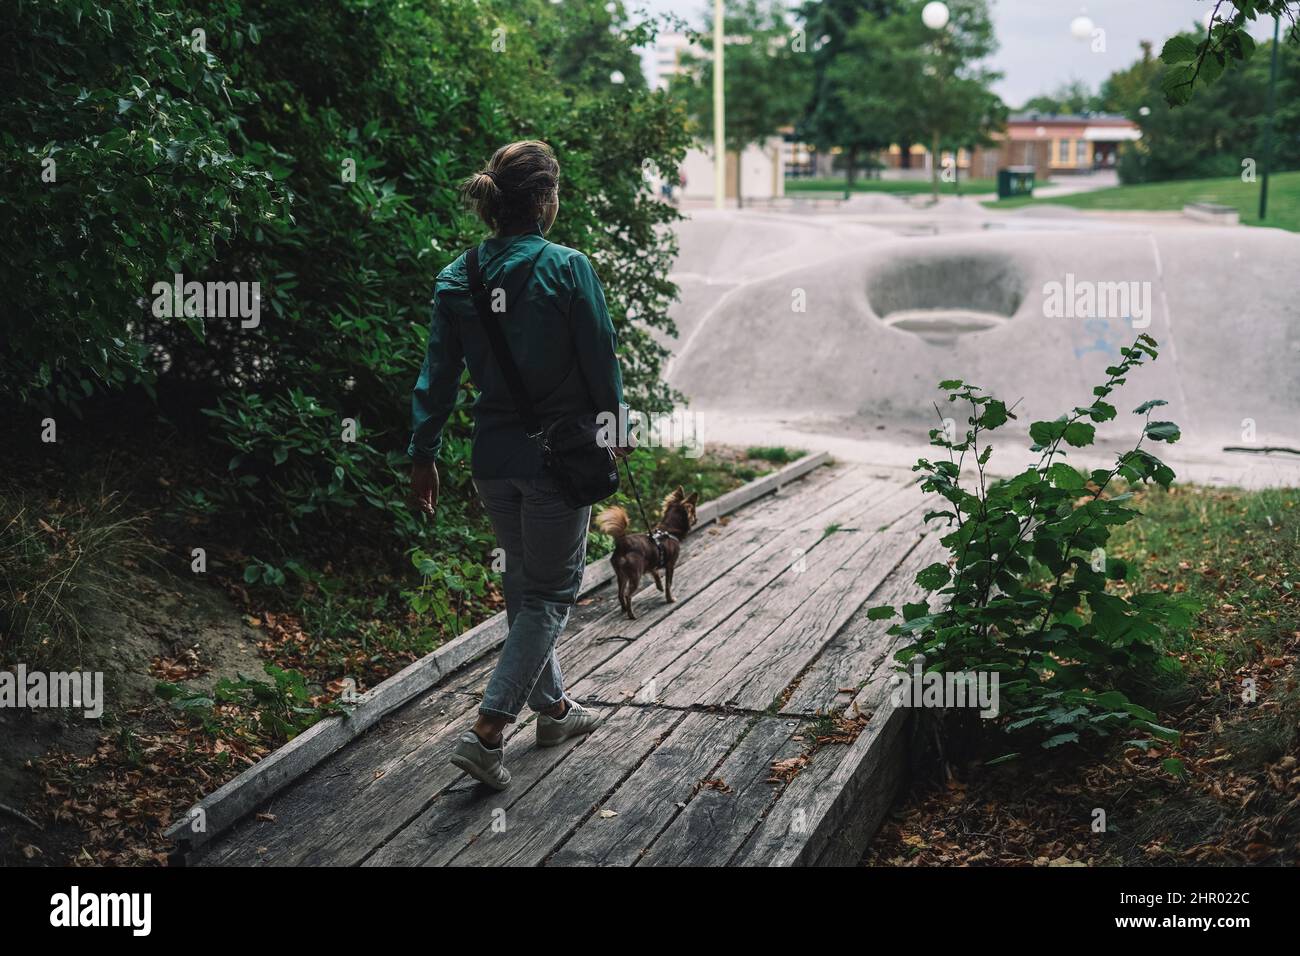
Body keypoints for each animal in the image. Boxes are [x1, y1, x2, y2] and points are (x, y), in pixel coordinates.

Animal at [598, 486, 702, 621]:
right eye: (694, 514)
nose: (697, 519)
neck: (668, 530)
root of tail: (623, 542)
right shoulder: (670, 565)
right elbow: (669, 584)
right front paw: (670, 599)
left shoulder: (652, 563)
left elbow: (656, 574)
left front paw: (659, 586)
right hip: (635, 576)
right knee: (627, 595)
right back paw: (631, 615)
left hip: (622, 575)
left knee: (620, 594)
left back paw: (624, 609)